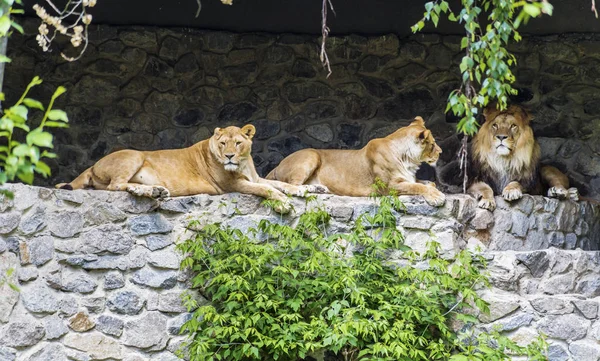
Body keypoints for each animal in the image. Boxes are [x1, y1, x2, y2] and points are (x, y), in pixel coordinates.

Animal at [56, 124, 328, 212]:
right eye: (223, 143)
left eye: (238, 142)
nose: (229, 156)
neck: (242, 163)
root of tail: (93, 164)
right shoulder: (233, 185)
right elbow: (268, 191)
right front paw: (284, 203)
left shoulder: (257, 177)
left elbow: (280, 184)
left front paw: (310, 189)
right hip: (133, 156)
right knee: (115, 186)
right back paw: (151, 191)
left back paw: (156, 190)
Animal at [266, 116, 446, 204]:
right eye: (433, 144)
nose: (441, 152)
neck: (408, 159)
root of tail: (278, 165)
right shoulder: (389, 187)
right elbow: (417, 187)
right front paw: (437, 197)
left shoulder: (407, 178)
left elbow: (427, 183)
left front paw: (433, 188)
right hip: (311, 155)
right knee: (291, 186)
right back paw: (309, 189)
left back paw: (319, 188)